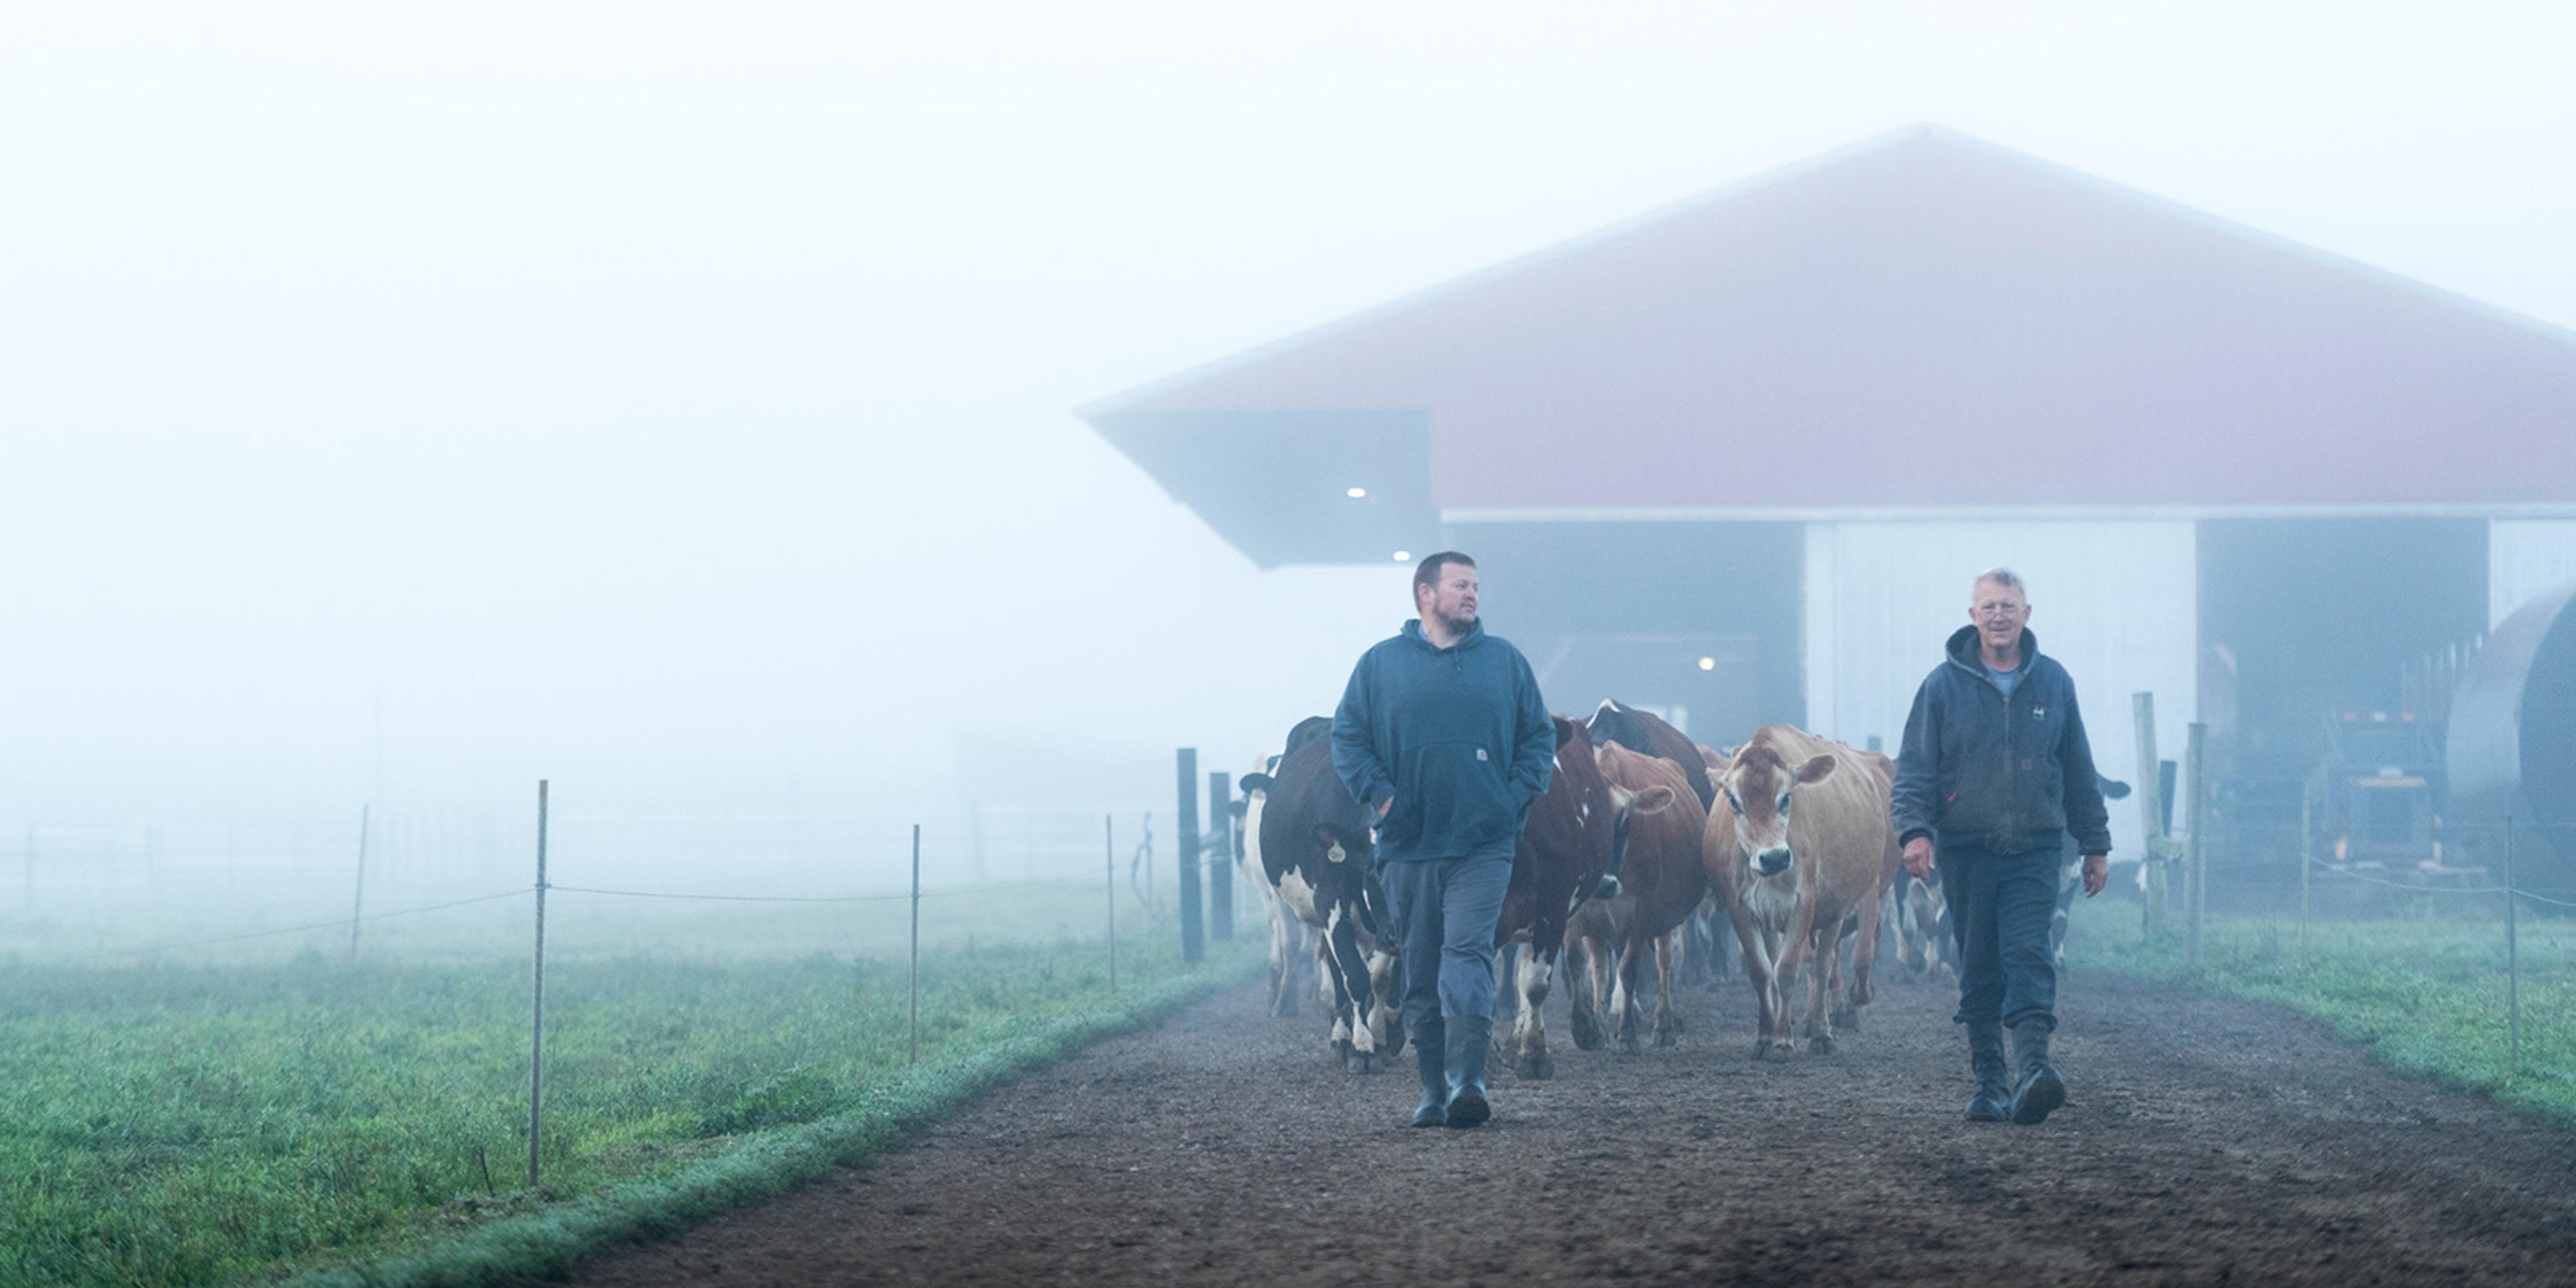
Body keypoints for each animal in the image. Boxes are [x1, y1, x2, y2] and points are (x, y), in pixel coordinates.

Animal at [1556, 741, 1700, 1051]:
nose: (1604, 885)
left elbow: (1631, 967)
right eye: (1584, 823)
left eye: (1624, 824)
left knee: (1664, 961)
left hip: (1664, 921)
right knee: (1600, 968)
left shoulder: (1643, 911)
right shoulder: (1576, 912)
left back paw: (1663, 1024)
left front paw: (1627, 1033)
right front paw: (1586, 1028)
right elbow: (1576, 962)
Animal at [1700, 726, 1906, 1056]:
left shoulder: (1805, 904)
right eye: (1733, 801)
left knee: (1823, 965)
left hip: (1836, 909)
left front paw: (1784, 1039)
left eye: (1786, 798)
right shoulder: (1740, 909)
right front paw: (1766, 1034)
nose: (1773, 857)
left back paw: (1822, 1030)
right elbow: (1762, 972)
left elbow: (1789, 970)